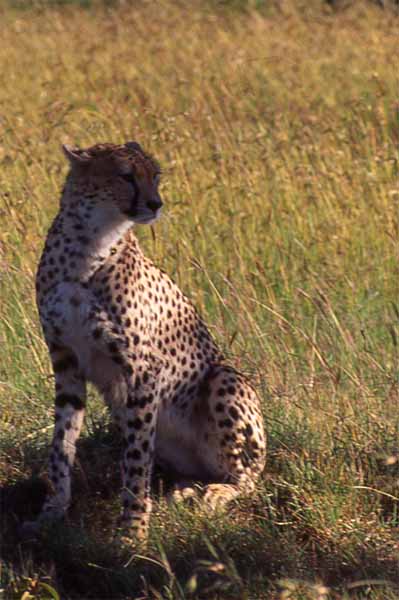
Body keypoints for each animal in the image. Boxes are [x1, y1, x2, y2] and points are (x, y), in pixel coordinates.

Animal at [33, 142, 266, 544]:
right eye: (126, 176)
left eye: (155, 176)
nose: (156, 203)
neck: (89, 242)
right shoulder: (66, 362)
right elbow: (61, 443)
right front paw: (53, 511)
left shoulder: (143, 372)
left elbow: (137, 458)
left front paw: (133, 530)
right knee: (199, 471)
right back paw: (186, 489)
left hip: (225, 379)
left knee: (246, 478)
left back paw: (218, 492)